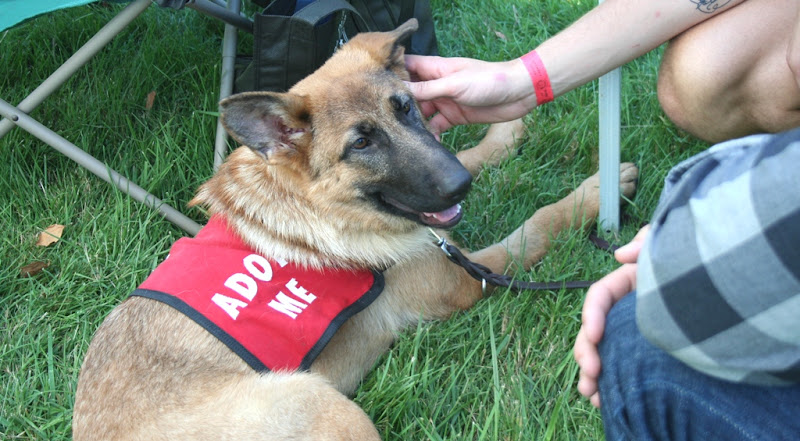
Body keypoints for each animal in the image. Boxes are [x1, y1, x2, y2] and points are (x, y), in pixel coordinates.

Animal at [73, 18, 636, 438]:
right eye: (361, 144)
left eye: (406, 109)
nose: (459, 188)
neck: (319, 205)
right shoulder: (466, 276)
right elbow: (536, 227)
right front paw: (593, 192)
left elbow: (476, 153)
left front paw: (504, 132)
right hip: (320, 399)